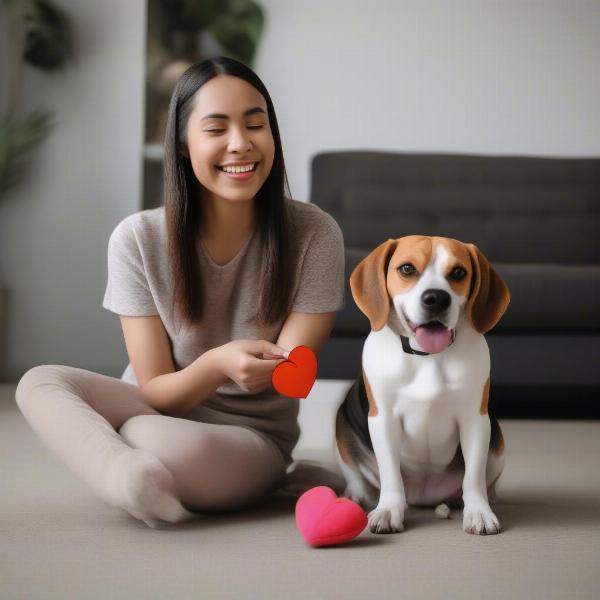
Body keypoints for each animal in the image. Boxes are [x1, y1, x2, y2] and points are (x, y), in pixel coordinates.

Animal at [336, 234, 508, 536]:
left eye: (459, 272)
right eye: (407, 269)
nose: (437, 298)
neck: (428, 356)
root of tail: (424, 496)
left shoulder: (475, 420)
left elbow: (474, 476)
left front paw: (479, 512)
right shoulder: (383, 419)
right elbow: (390, 473)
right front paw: (388, 510)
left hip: (497, 442)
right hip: (342, 420)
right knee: (356, 474)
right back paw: (357, 495)